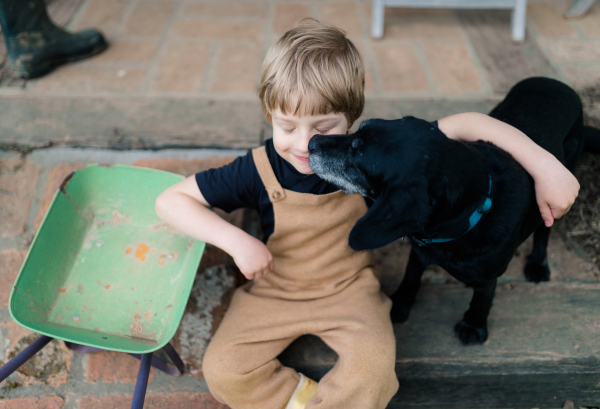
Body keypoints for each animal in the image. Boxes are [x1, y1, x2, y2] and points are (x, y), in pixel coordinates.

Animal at [308, 77, 596, 344]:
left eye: (357, 157)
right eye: (358, 129)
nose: (311, 141)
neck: (474, 211)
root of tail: (557, 83)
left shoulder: (487, 276)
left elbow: (482, 299)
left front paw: (473, 327)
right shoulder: (420, 252)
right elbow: (411, 278)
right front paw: (399, 305)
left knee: (545, 230)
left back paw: (538, 263)